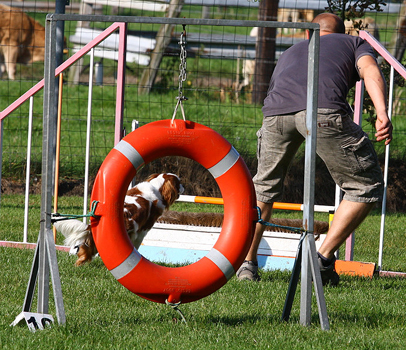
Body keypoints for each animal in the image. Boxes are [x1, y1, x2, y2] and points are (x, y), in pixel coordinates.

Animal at [52, 174, 184, 266]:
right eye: (179, 182)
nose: (184, 187)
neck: (156, 186)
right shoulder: (141, 231)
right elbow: (136, 246)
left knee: (85, 254)